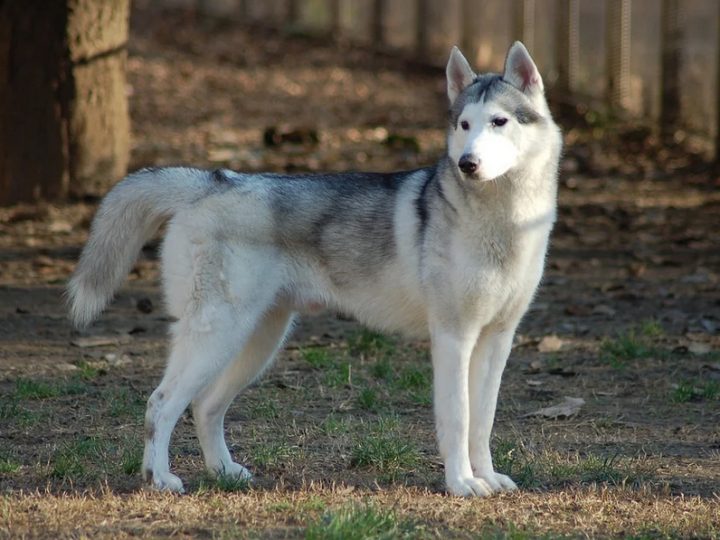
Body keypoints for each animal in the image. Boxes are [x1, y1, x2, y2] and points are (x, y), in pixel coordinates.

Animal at [67, 42, 564, 496]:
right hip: (218, 335)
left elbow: (482, 420)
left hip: (258, 341)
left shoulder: (497, 340)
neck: (505, 222)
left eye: (499, 122)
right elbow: (458, 419)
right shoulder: (452, 337)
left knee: (205, 405)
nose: (467, 163)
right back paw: (159, 478)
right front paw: (462, 483)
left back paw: (224, 472)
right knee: (161, 403)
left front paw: (487, 477)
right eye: (464, 125)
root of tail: (214, 181)